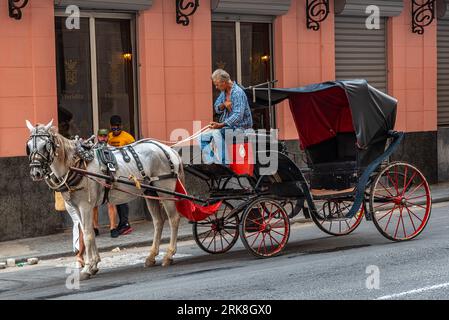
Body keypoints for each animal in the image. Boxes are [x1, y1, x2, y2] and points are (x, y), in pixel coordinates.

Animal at [25, 120, 183, 280]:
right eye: (29, 146)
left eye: (45, 145)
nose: (35, 172)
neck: (77, 165)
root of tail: (168, 150)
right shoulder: (77, 207)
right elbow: (87, 231)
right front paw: (94, 264)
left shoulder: (86, 206)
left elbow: (87, 234)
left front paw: (87, 268)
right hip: (150, 192)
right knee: (158, 221)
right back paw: (151, 257)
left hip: (165, 190)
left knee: (173, 219)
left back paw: (169, 255)